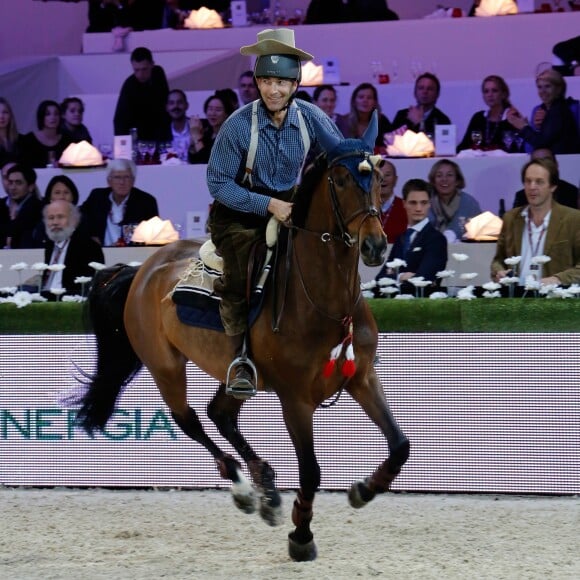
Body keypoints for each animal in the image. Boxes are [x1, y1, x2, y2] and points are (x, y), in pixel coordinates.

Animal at [75, 113, 410, 560]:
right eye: (339, 180)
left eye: (378, 178)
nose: (374, 245)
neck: (323, 299)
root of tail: (142, 269)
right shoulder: (295, 400)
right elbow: (311, 472)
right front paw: (301, 536)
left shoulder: (361, 377)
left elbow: (400, 445)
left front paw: (363, 490)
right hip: (165, 366)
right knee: (190, 420)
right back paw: (244, 490)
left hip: (236, 373)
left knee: (219, 413)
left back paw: (265, 487)